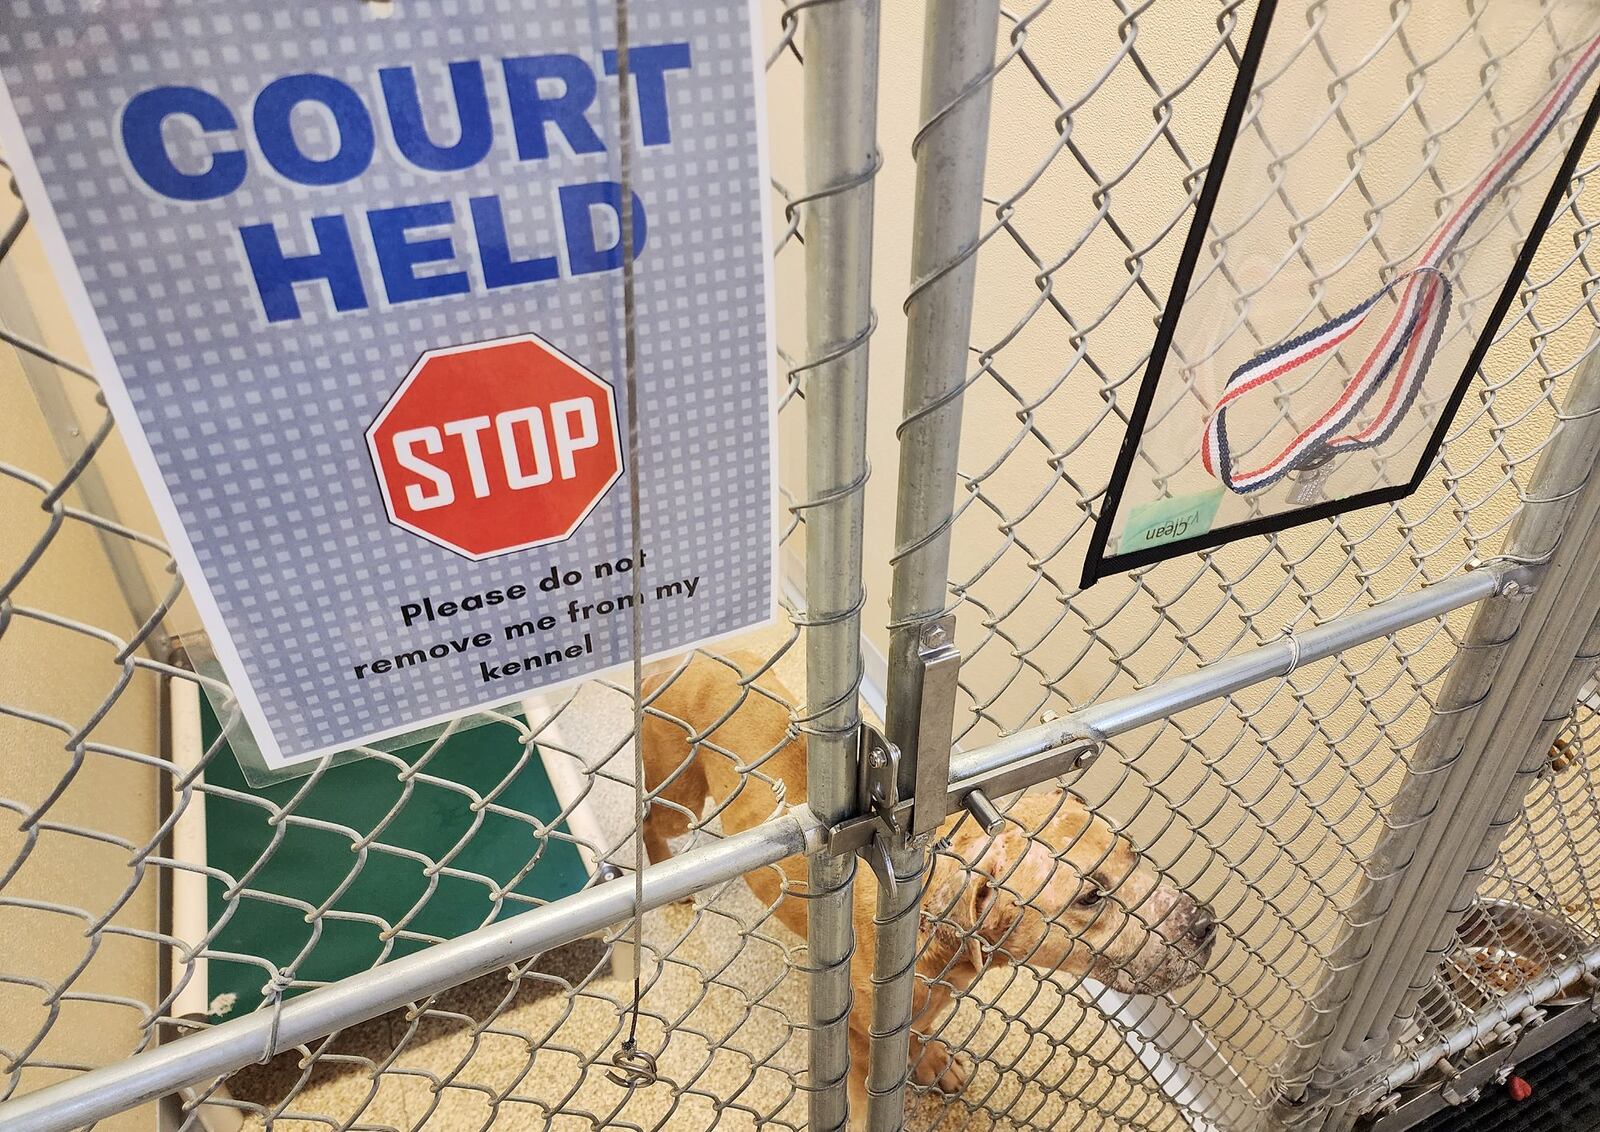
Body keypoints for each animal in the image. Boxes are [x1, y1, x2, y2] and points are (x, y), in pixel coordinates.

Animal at [636, 649, 1209, 1112]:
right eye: (1092, 896)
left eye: (1133, 852)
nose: (1205, 925)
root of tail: (679, 660)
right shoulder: (861, 1039)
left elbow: (918, 1032)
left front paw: (931, 1060)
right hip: (679, 793)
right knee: (648, 825)